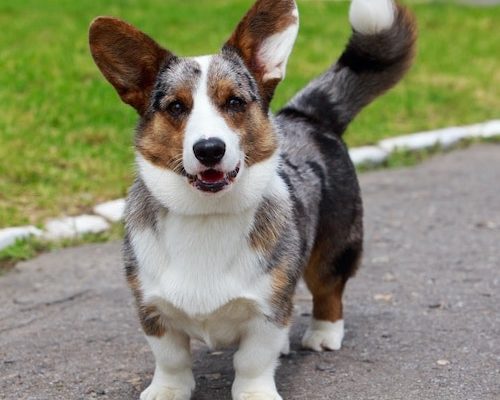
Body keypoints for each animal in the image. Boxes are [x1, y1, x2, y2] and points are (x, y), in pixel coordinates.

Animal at [89, 0, 414, 398]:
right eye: (176, 107)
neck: (207, 215)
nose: (209, 149)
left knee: (329, 290)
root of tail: (305, 116)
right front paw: (167, 390)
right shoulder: (153, 308)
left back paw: (323, 334)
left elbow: (252, 361)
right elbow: (171, 359)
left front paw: (254, 392)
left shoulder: (266, 311)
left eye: (234, 102)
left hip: (334, 246)